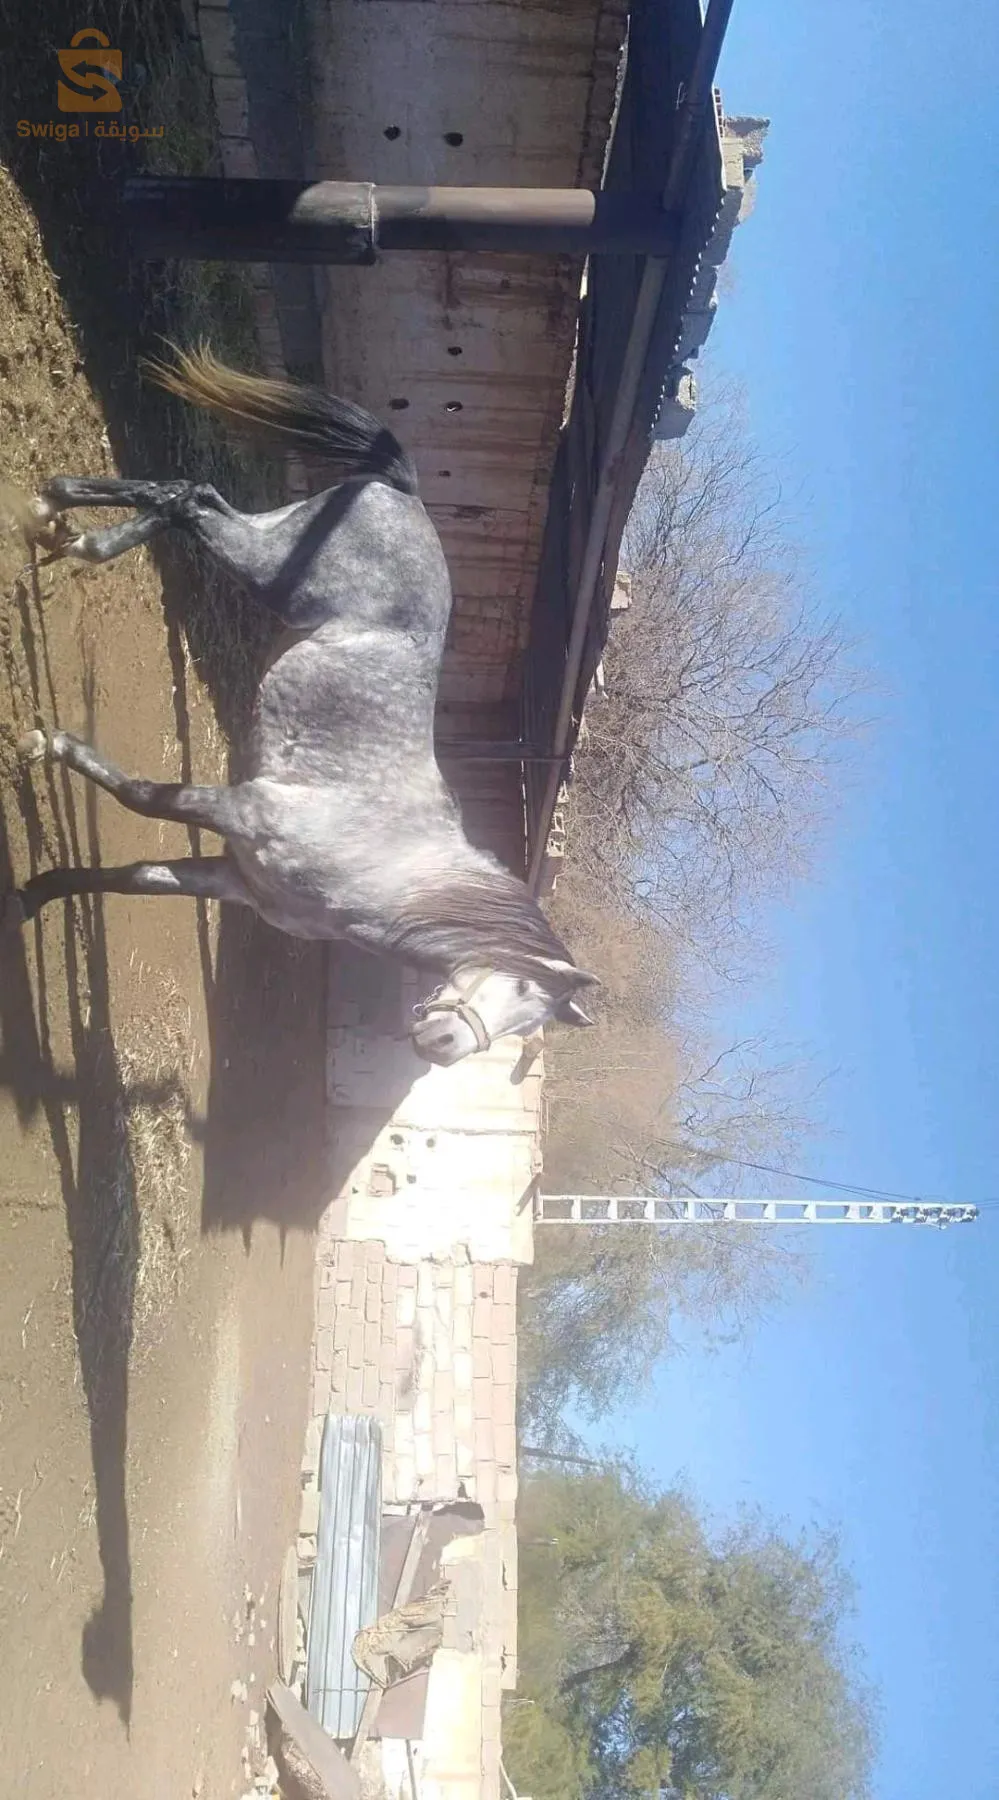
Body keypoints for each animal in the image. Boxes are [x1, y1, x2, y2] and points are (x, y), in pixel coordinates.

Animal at [5, 347, 599, 1066]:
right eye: (518, 987)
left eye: (524, 1023)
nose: (441, 1044)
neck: (384, 864)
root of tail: (406, 493)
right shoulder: (241, 808)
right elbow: (139, 797)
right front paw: (45, 745)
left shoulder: (229, 878)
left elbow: (128, 876)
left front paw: (32, 896)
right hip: (270, 569)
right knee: (188, 502)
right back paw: (60, 519)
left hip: (268, 539)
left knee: (193, 495)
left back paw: (60, 525)